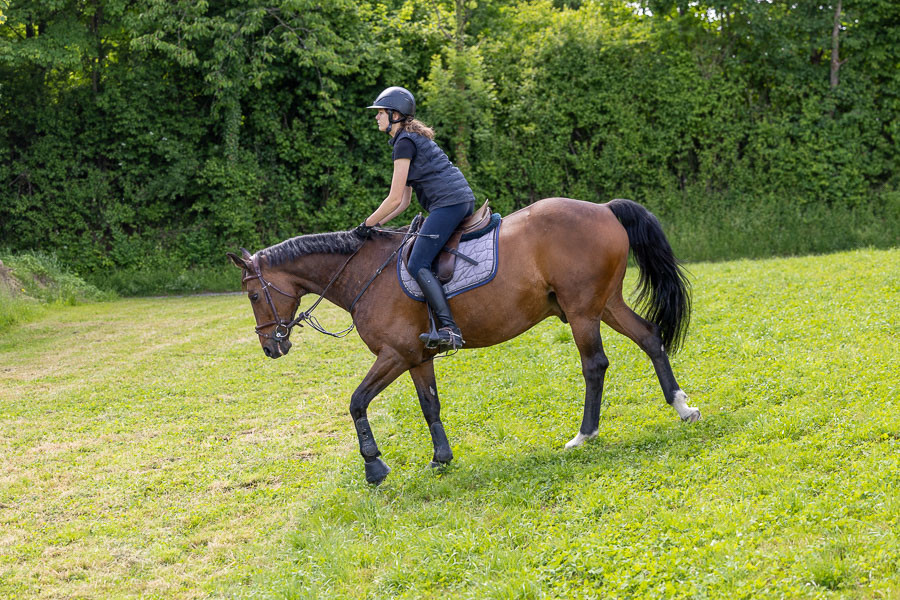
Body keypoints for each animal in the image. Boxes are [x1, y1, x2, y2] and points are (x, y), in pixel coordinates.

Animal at [227, 197, 700, 485]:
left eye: (253, 295)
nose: (271, 347)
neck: (363, 273)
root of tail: (603, 208)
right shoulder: (417, 357)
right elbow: (430, 406)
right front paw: (441, 458)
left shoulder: (394, 354)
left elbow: (357, 402)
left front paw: (374, 466)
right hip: (606, 303)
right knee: (650, 337)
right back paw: (682, 407)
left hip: (583, 310)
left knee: (595, 365)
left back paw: (585, 435)